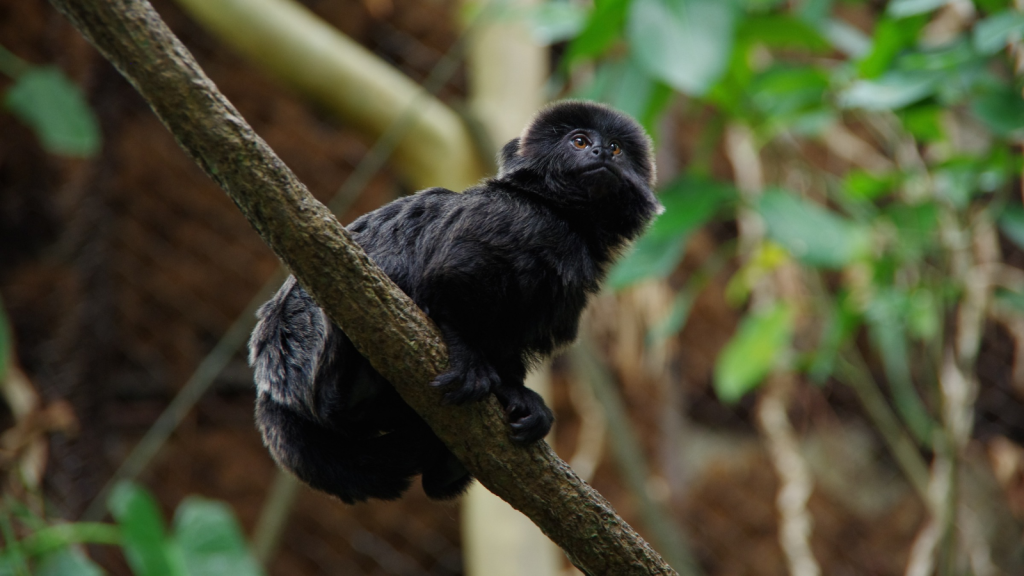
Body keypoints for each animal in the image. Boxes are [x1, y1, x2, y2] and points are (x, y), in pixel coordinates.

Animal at [251, 99, 659, 502]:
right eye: (579, 141)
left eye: (616, 149)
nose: (599, 152)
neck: (560, 216)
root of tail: (272, 386)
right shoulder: (505, 218)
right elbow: (448, 279)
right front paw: (466, 353)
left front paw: (514, 393)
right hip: (317, 349)